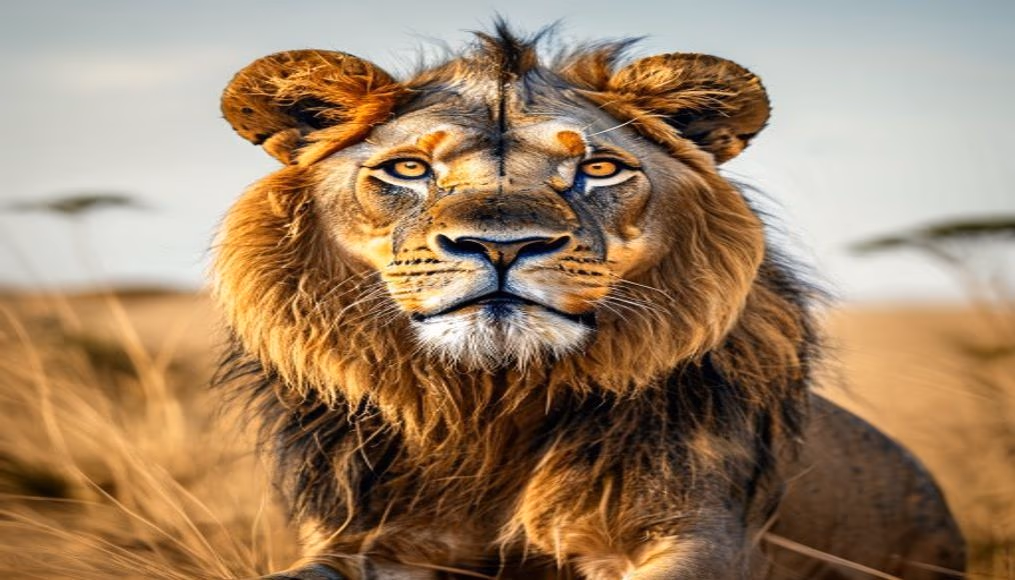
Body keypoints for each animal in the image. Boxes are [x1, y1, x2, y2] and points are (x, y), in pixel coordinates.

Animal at [214, 24, 965, 580]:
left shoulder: (696, 534)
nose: (502, 245)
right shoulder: (372, 539)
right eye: (408, 168)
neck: (494, 408)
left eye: (598, 169)